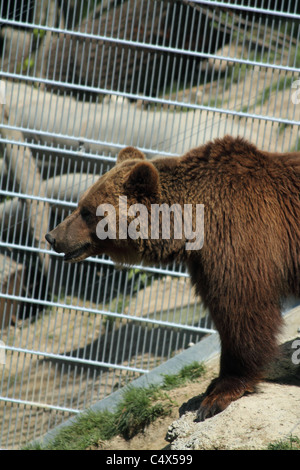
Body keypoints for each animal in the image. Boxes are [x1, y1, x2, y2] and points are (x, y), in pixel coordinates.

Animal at [45, 135, 300, 418]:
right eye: (79, 205)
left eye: (87, 211)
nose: (52, 236)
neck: (190, 226)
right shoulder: (204, 260)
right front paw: (214, 385)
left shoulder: (238, 236)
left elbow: (241, 309)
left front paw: (219, 394)